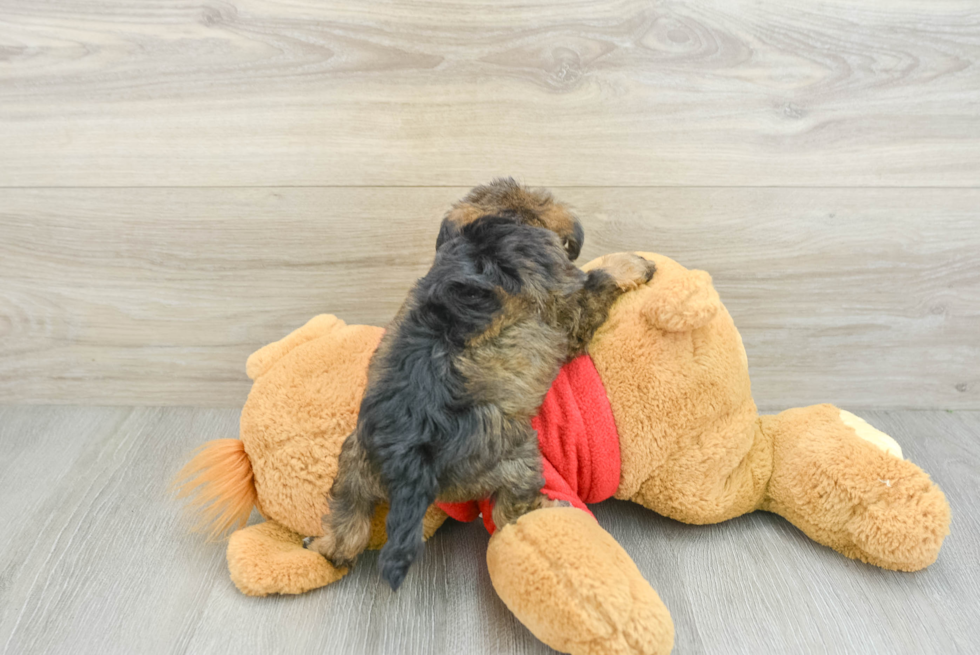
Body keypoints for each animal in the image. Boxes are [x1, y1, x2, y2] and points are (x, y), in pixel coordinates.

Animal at [310, 178, 656, 588]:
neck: (501, 222)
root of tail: (407, 462)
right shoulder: (569, 313)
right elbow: (597, 281)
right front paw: (631, 264)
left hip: (355, 459)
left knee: (349, 523)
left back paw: (324, 545)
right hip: (513, 456)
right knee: (509, 512)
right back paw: (548, 505)